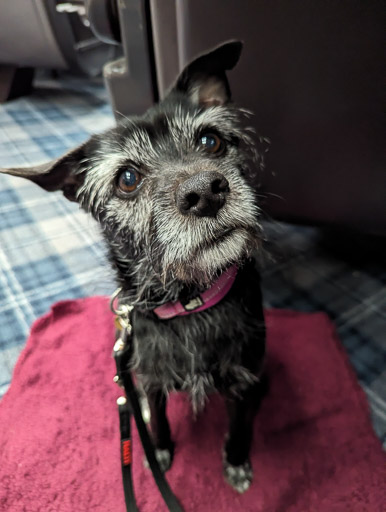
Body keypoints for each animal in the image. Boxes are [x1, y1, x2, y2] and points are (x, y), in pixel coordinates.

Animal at [0, 42, 266, 494]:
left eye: (210, 140)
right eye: (127, 178)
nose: (205, 192)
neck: (190, 304)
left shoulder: (242, 380)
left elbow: (238, 425)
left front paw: (236, 460)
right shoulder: (152, 378)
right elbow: (157, 418)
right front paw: (158, 451)